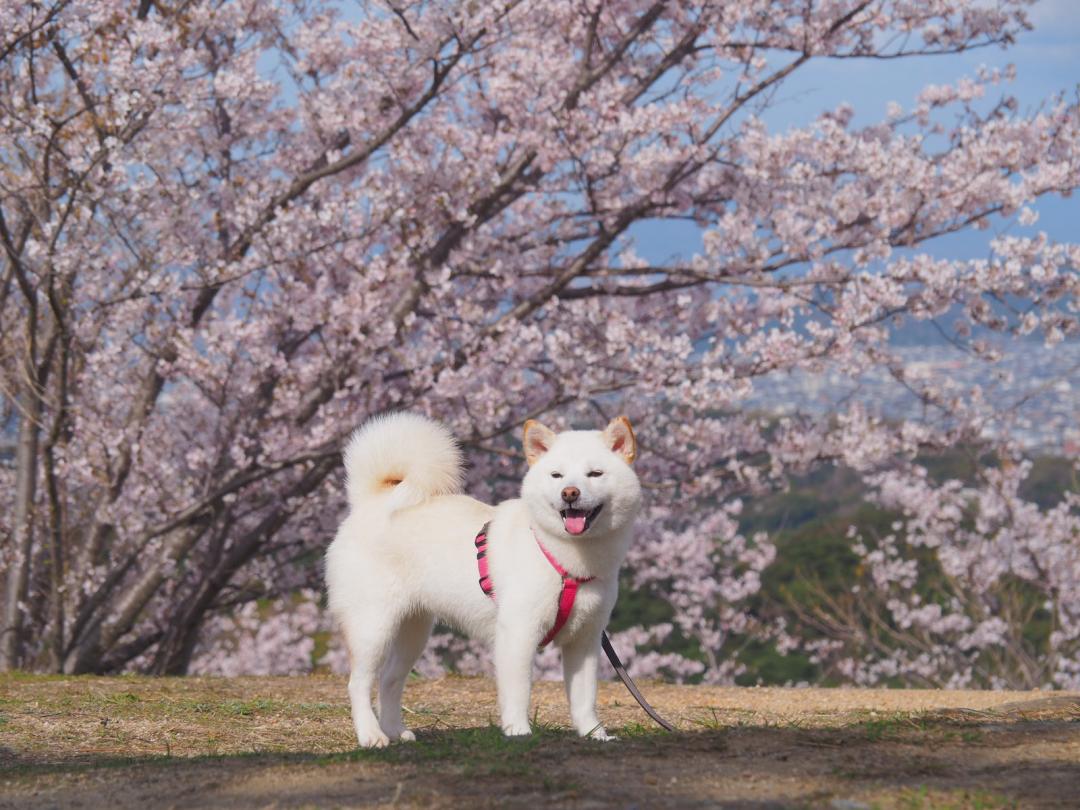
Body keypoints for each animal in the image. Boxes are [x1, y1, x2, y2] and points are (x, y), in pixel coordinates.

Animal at [321, 414, 639, 751]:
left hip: (412, 632)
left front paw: (595, 734)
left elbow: (584, 698)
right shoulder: (518, 634)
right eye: (557, 475)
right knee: (358, 683)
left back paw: (396, 731)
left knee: (389, 680)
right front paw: (518, 732)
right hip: (373, 627)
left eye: (595, 474)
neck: (565, 561)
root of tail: (372, 503)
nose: (570, 493)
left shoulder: (586, 640)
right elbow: (519, 691)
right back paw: (371, 735)